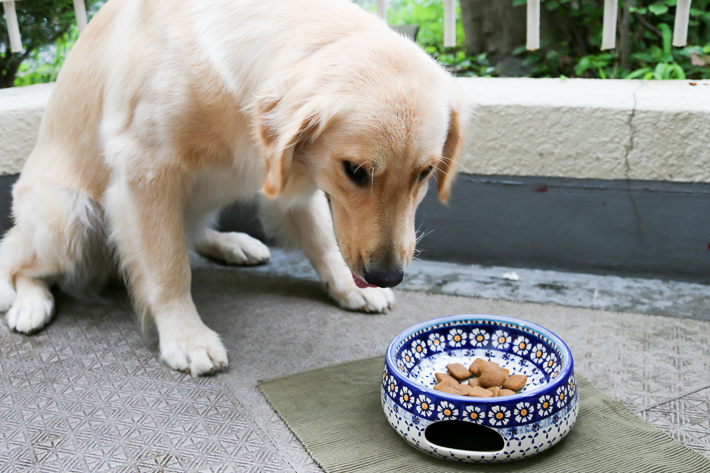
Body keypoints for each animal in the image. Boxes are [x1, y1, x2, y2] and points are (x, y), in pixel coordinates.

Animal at [0, 0, 468, 374]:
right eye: (355, 170)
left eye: (425, 173)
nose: (387, 276)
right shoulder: (144, 170)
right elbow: (168, 266)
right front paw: (186, 337)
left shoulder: (283, 169)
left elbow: (321, 237)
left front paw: (347, 287)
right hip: (68, 214)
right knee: (18, 260)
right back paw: (30, 303)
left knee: (193, 232)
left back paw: (231, 244)